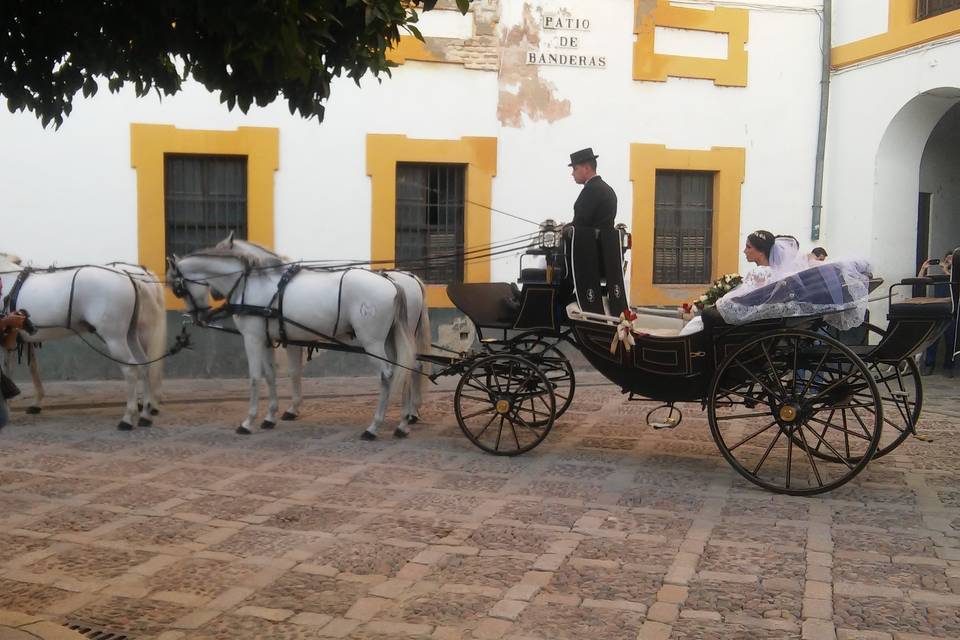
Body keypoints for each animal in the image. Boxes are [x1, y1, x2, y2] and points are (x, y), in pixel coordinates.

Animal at [0, 252, 167, 428]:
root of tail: (129, 276)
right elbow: (23, 369)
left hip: (116, 338)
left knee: (131, 370)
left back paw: (128, 418)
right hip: (130, 335)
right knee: (145, 366)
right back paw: (146, 414)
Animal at [168, 242, 420, 438]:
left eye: (178, 289)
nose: (199, 317)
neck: (252, 284)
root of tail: (393, 284)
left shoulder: (252, 338)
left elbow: (254, 377)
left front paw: (248, 422)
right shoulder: (267, 339)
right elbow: (270, 375)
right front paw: (270, 416)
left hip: (372, 343)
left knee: (387, 375)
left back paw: (374, 427)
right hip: (389, 341)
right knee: (405, 370)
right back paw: (402, 424)